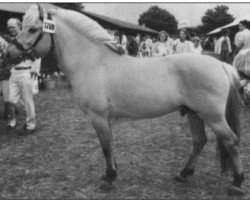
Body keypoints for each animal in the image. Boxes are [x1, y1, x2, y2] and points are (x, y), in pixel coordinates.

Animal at [5, 4, 246, 195]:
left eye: (33, 29)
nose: (8, 53)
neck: (92, 62)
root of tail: (221, 65)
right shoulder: (104, 118)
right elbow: (110, 144)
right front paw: (111, 173)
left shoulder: (98, 116)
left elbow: (105, 146)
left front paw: (110, 179)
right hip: (193, 113)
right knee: (199, 141)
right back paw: (184, 174)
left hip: (213, 116)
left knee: (231, 142)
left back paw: (237, 183)